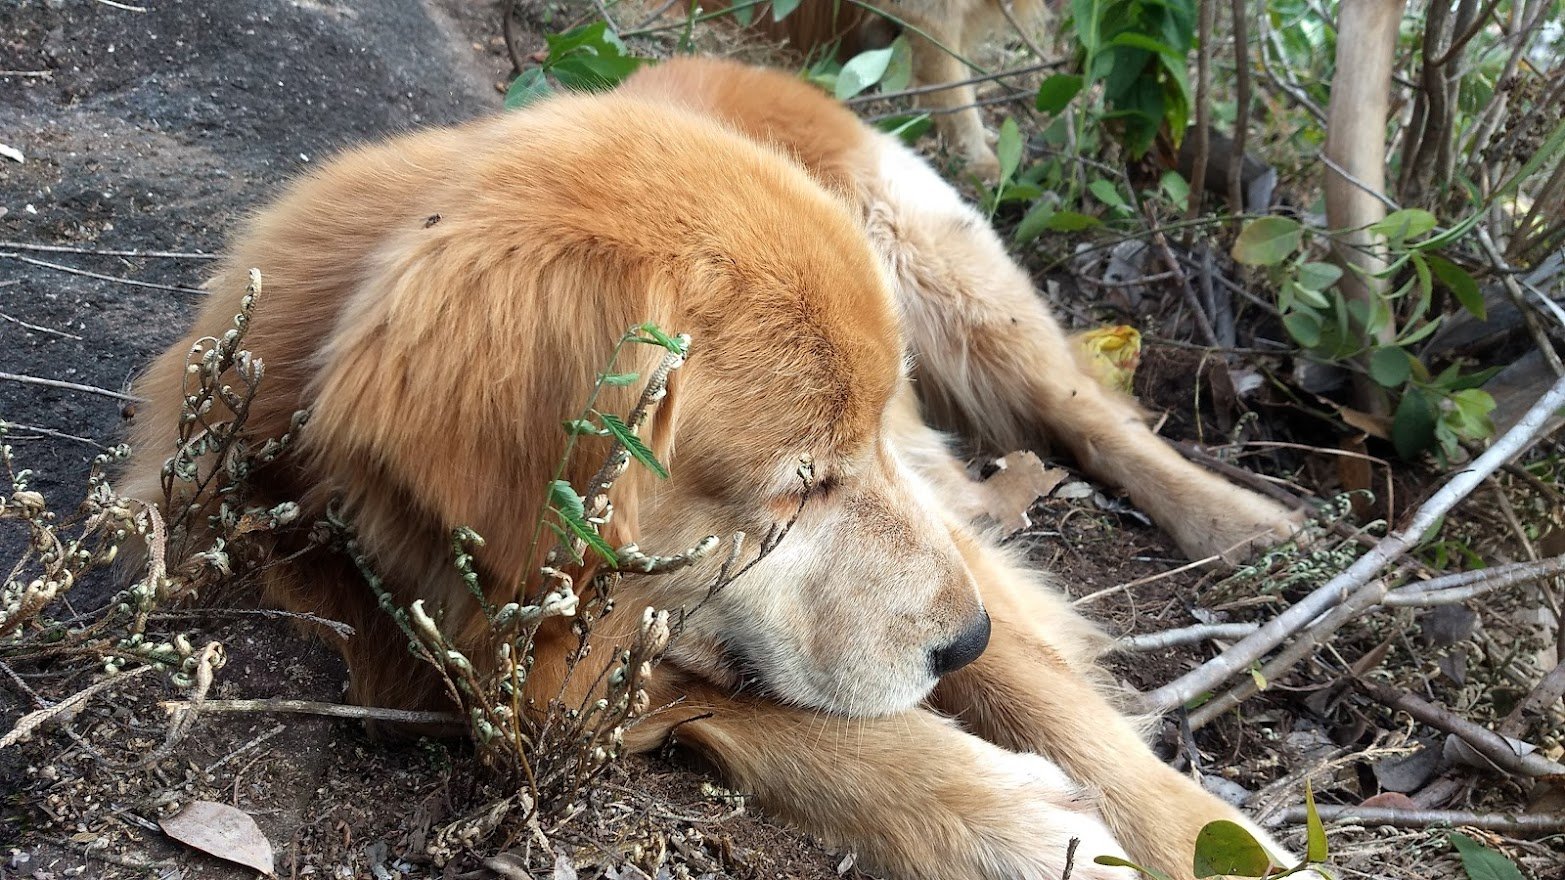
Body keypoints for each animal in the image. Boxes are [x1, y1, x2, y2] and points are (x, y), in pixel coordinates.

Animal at [118, 58, 1295, 876]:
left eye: (861, 442)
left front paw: (1198, 834)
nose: (958, 638)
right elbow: (762, 714)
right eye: (798, 483)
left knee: (1091, 412)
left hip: (956, 279)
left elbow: (1048, 696)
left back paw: (1242, 522)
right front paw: (1004, 816)